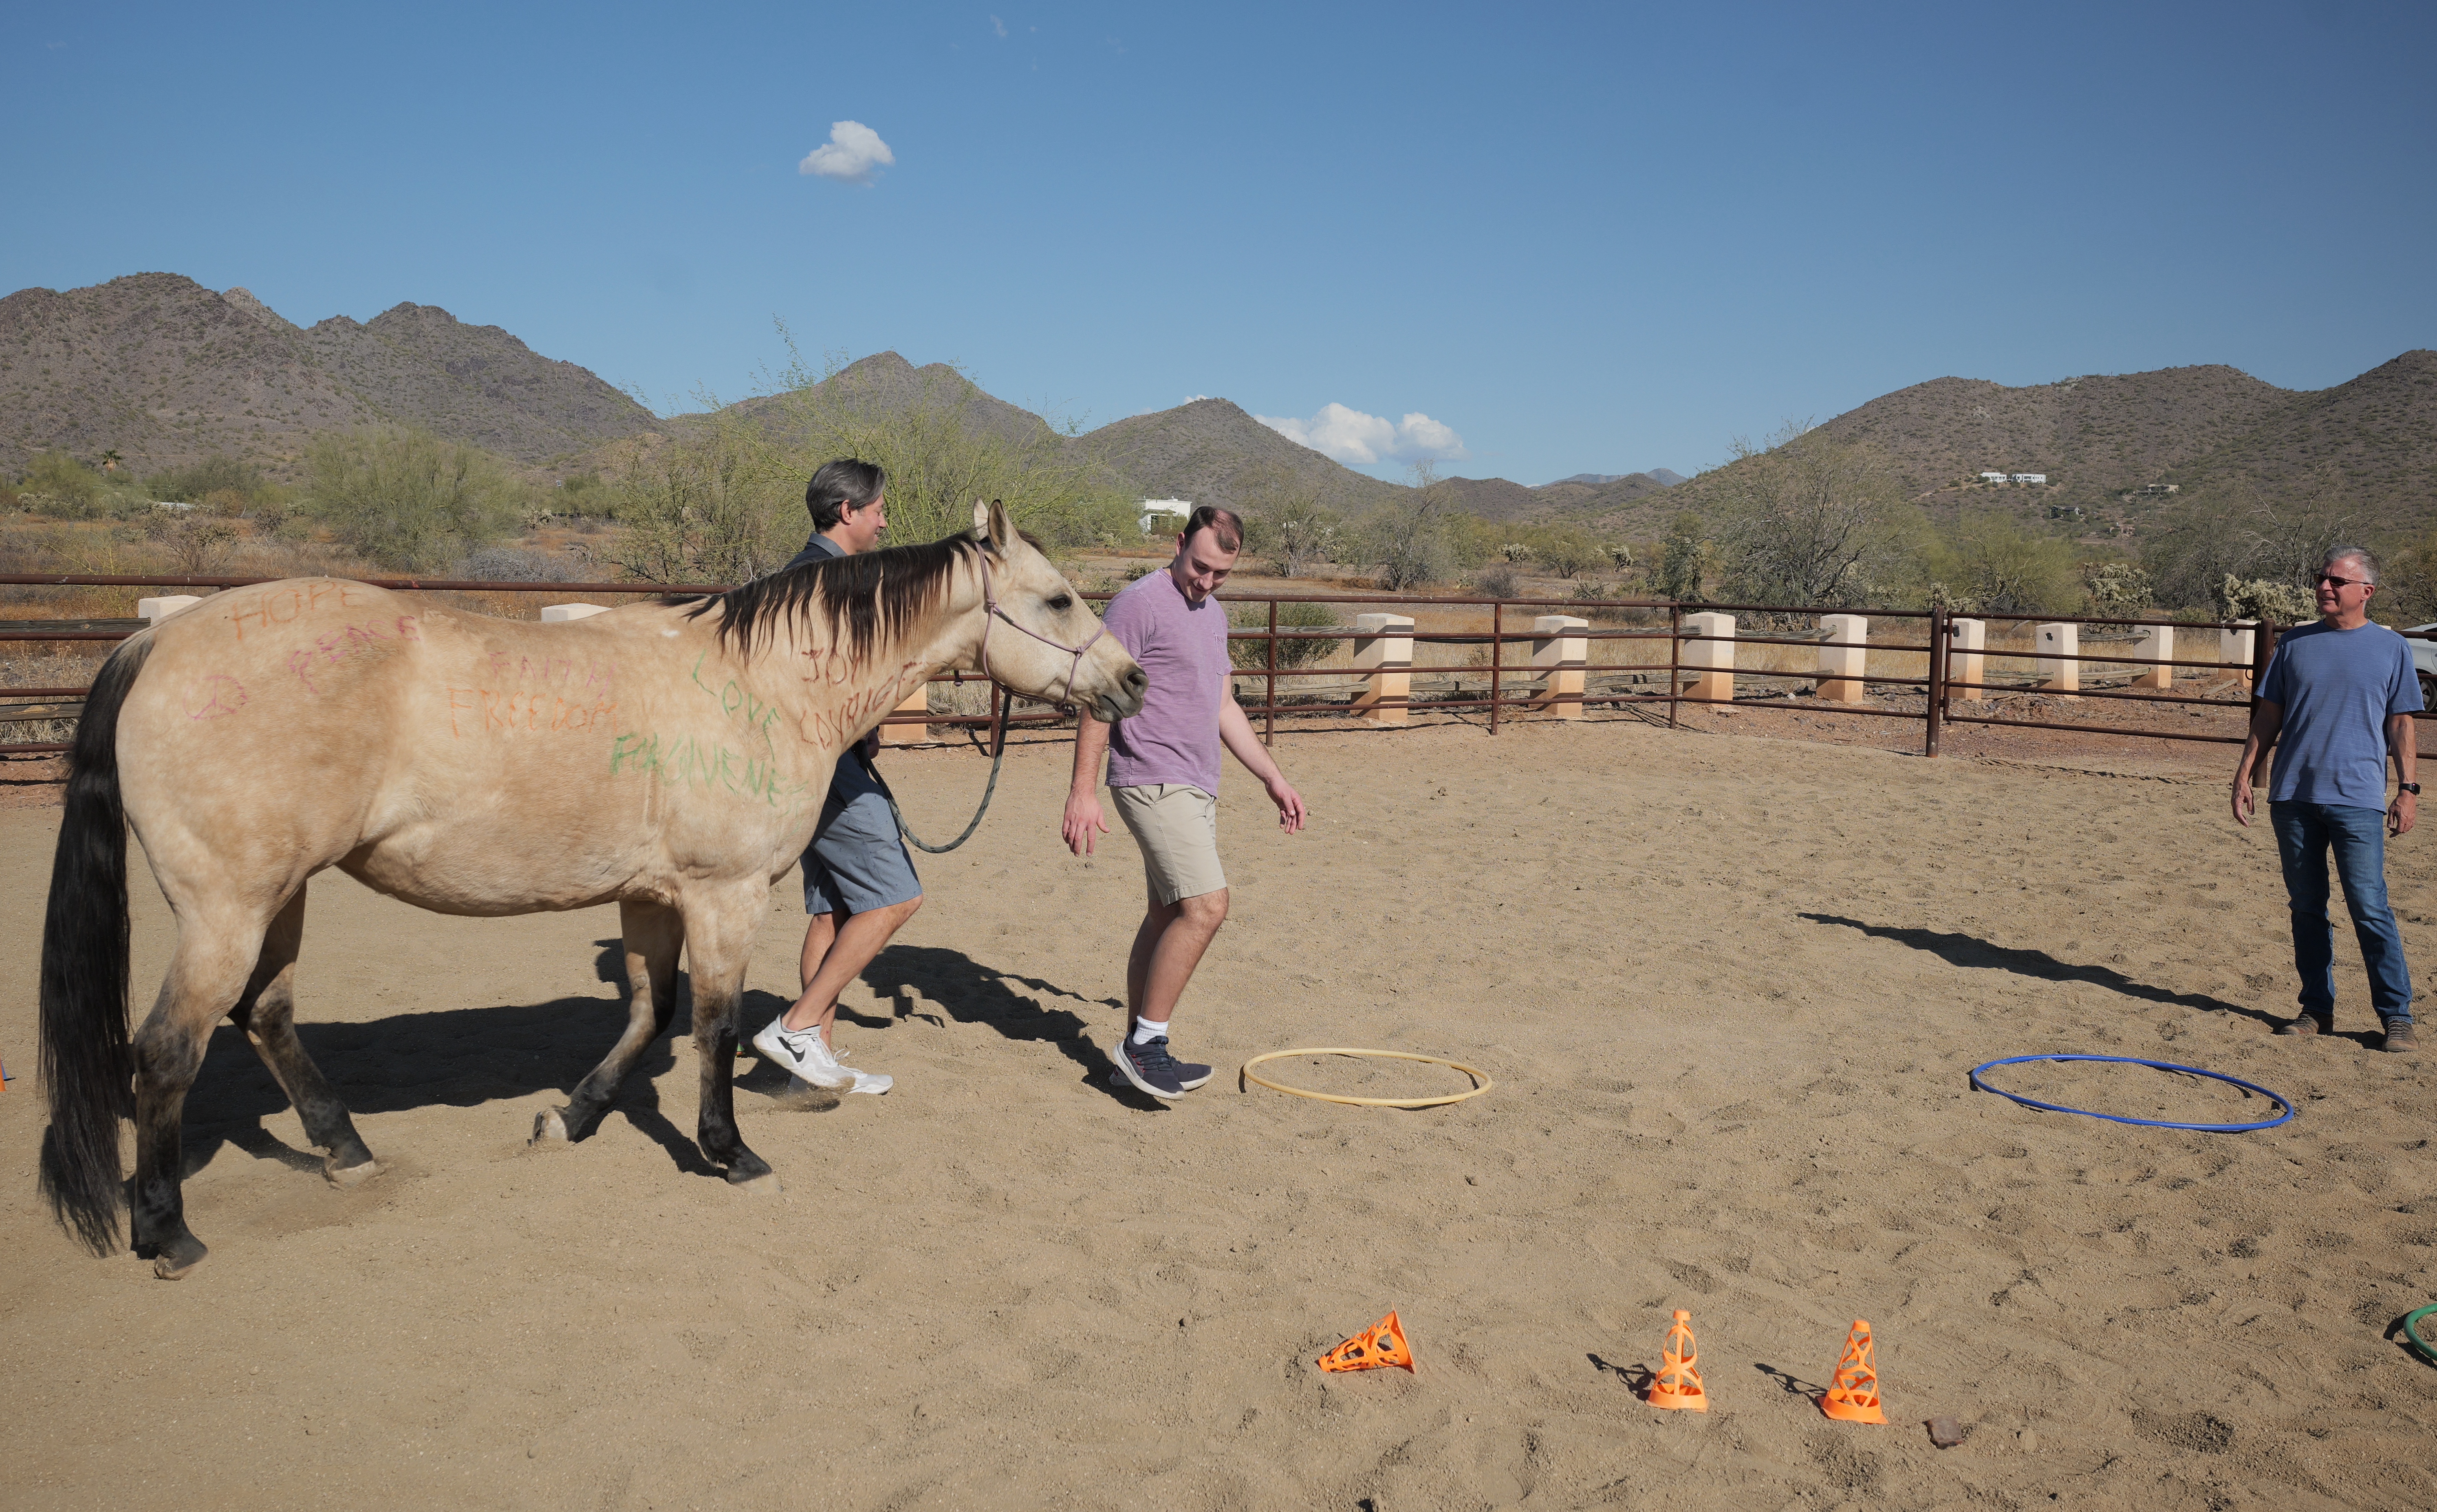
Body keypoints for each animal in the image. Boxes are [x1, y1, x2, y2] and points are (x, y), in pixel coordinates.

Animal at [38, 500, 1146, 1279]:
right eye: (1058, 598)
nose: (1131, 682)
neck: (764, 683)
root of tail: (156, 640)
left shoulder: (652, 897)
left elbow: (648, 1016)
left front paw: (566, 1120)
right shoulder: (724, 894)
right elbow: (712, 1026)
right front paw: (727, 1151)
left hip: (282, 895)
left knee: (265, 1015)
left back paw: (345, 1147)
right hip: (226, 908)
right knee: (167, 1051)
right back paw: (168, 1232)